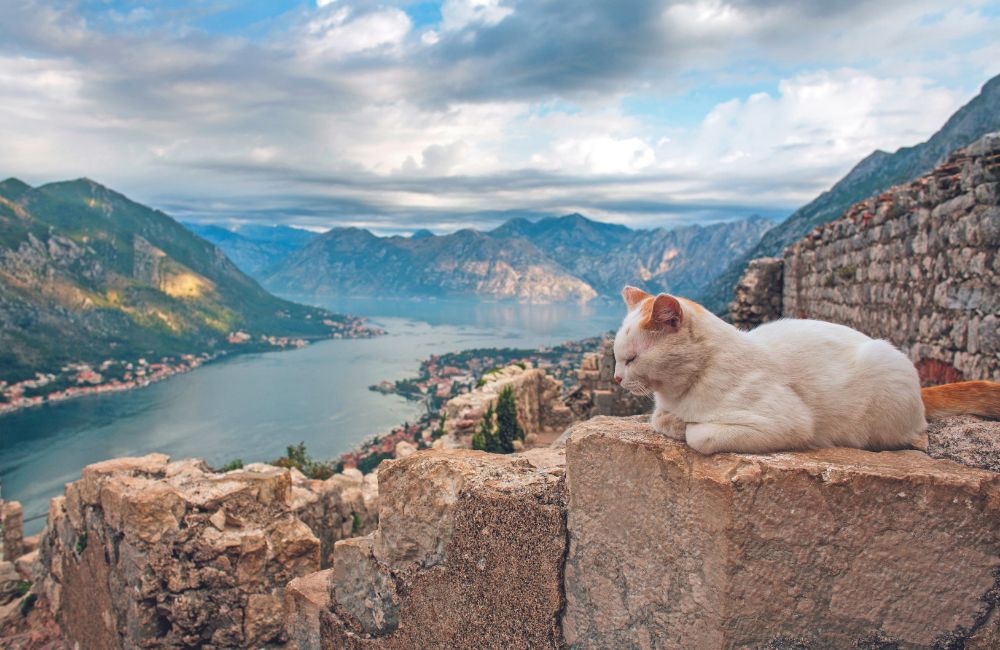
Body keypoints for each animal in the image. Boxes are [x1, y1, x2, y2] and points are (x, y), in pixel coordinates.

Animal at [612, 286, 1000, 454]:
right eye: (617, 358)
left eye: (631, 359)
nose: (616, 377)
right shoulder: (662, 410)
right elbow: (660, 420)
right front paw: (675, 422)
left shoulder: (787, 421)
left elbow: (700, 435)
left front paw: (688, 426)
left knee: (915, 434)